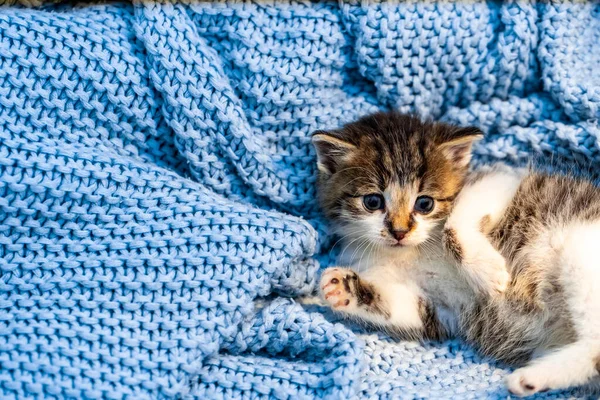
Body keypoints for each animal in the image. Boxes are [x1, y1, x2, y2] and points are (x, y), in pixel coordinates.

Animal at [312, 111, 600, 396]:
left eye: (425, 203)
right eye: (372, 202)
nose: (399, 232)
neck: (408, 252)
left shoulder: (503, 178)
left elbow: (454, 223)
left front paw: (487, 271)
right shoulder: (436, 308)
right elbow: (400, 306)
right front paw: (341, 288)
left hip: (579, 248)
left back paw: (531, 375)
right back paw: (534, 378)